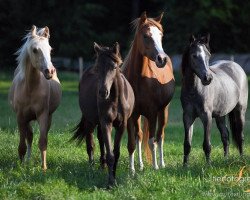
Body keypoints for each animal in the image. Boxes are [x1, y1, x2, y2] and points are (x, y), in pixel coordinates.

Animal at [8, 25, 62, 171]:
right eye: (34, 50)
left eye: (50, 49)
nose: (50, 71)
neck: (30, 88)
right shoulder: (21, 117)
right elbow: (22, 144)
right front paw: (21, 166)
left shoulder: (43, 115)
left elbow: (42, 142)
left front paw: (43, 168)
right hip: (28, 119)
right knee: (29, 137)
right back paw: (27, 161)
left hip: (48, 117)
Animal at [72, 42, 135, 188]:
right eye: (98, 67)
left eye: (114, 67)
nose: (102, 92)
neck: (115, 99)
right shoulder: (106, 122)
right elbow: (110, 153)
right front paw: (111, 182)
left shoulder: (121, 125)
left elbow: (115, 152)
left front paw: (113, 176)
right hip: (90, 121)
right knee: (90, 143)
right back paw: (92, 168)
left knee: (100, 140)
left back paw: (102, 166)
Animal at [122, 11, 174, 173]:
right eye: (146, 36)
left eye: (161, 35)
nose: (161, 59)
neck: (139, 79)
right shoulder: (131, 115)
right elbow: (132, 143)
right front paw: (132, 170)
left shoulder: (152, 114)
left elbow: (152, 142)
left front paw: (155, 166)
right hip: (139, 115)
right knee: (139, 136)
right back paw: (140, 165)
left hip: (163, 111)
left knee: (160, 136)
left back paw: (161, 164)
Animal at [182, 34, 248, 166]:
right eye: (194, 55)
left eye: (208, 55)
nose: (208, 78)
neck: (194, 89)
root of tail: (236, 66)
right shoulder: (187, 117)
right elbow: (187, 144)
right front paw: (185, 166)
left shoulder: (206, 117)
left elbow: (207, 144)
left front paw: (208, 165)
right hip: (220, 115)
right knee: (225, 136)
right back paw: (226, 159)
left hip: (240, 111)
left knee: (240, 136)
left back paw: (242, 158)